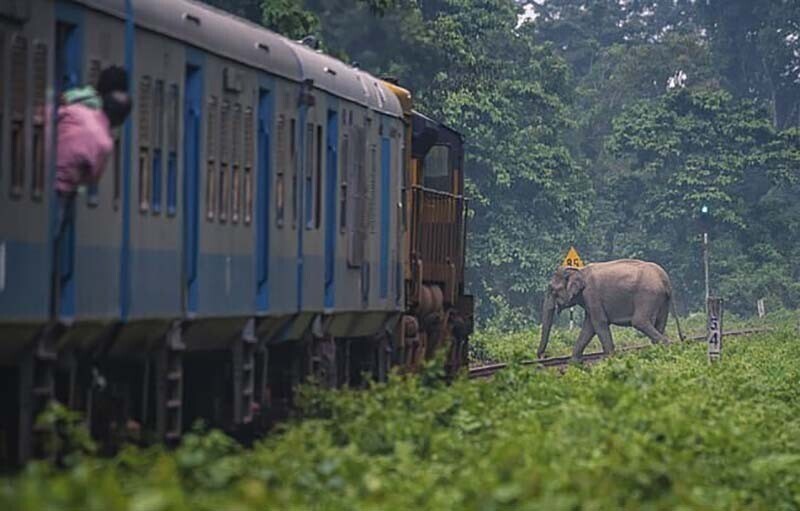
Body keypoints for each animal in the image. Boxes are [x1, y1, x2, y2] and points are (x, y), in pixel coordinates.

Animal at [536, 260, 680, 364]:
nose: (543, 356)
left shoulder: (591, 295)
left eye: (552, 290)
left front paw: (610, 359)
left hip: (647, 295)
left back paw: (666, 346)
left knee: (639, 322)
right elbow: (589, 327)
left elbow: (599, 323)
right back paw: (658, 350)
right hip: (662, 300)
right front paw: (574, 363)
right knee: (660, 322)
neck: (579, 271)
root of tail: (665, 279)